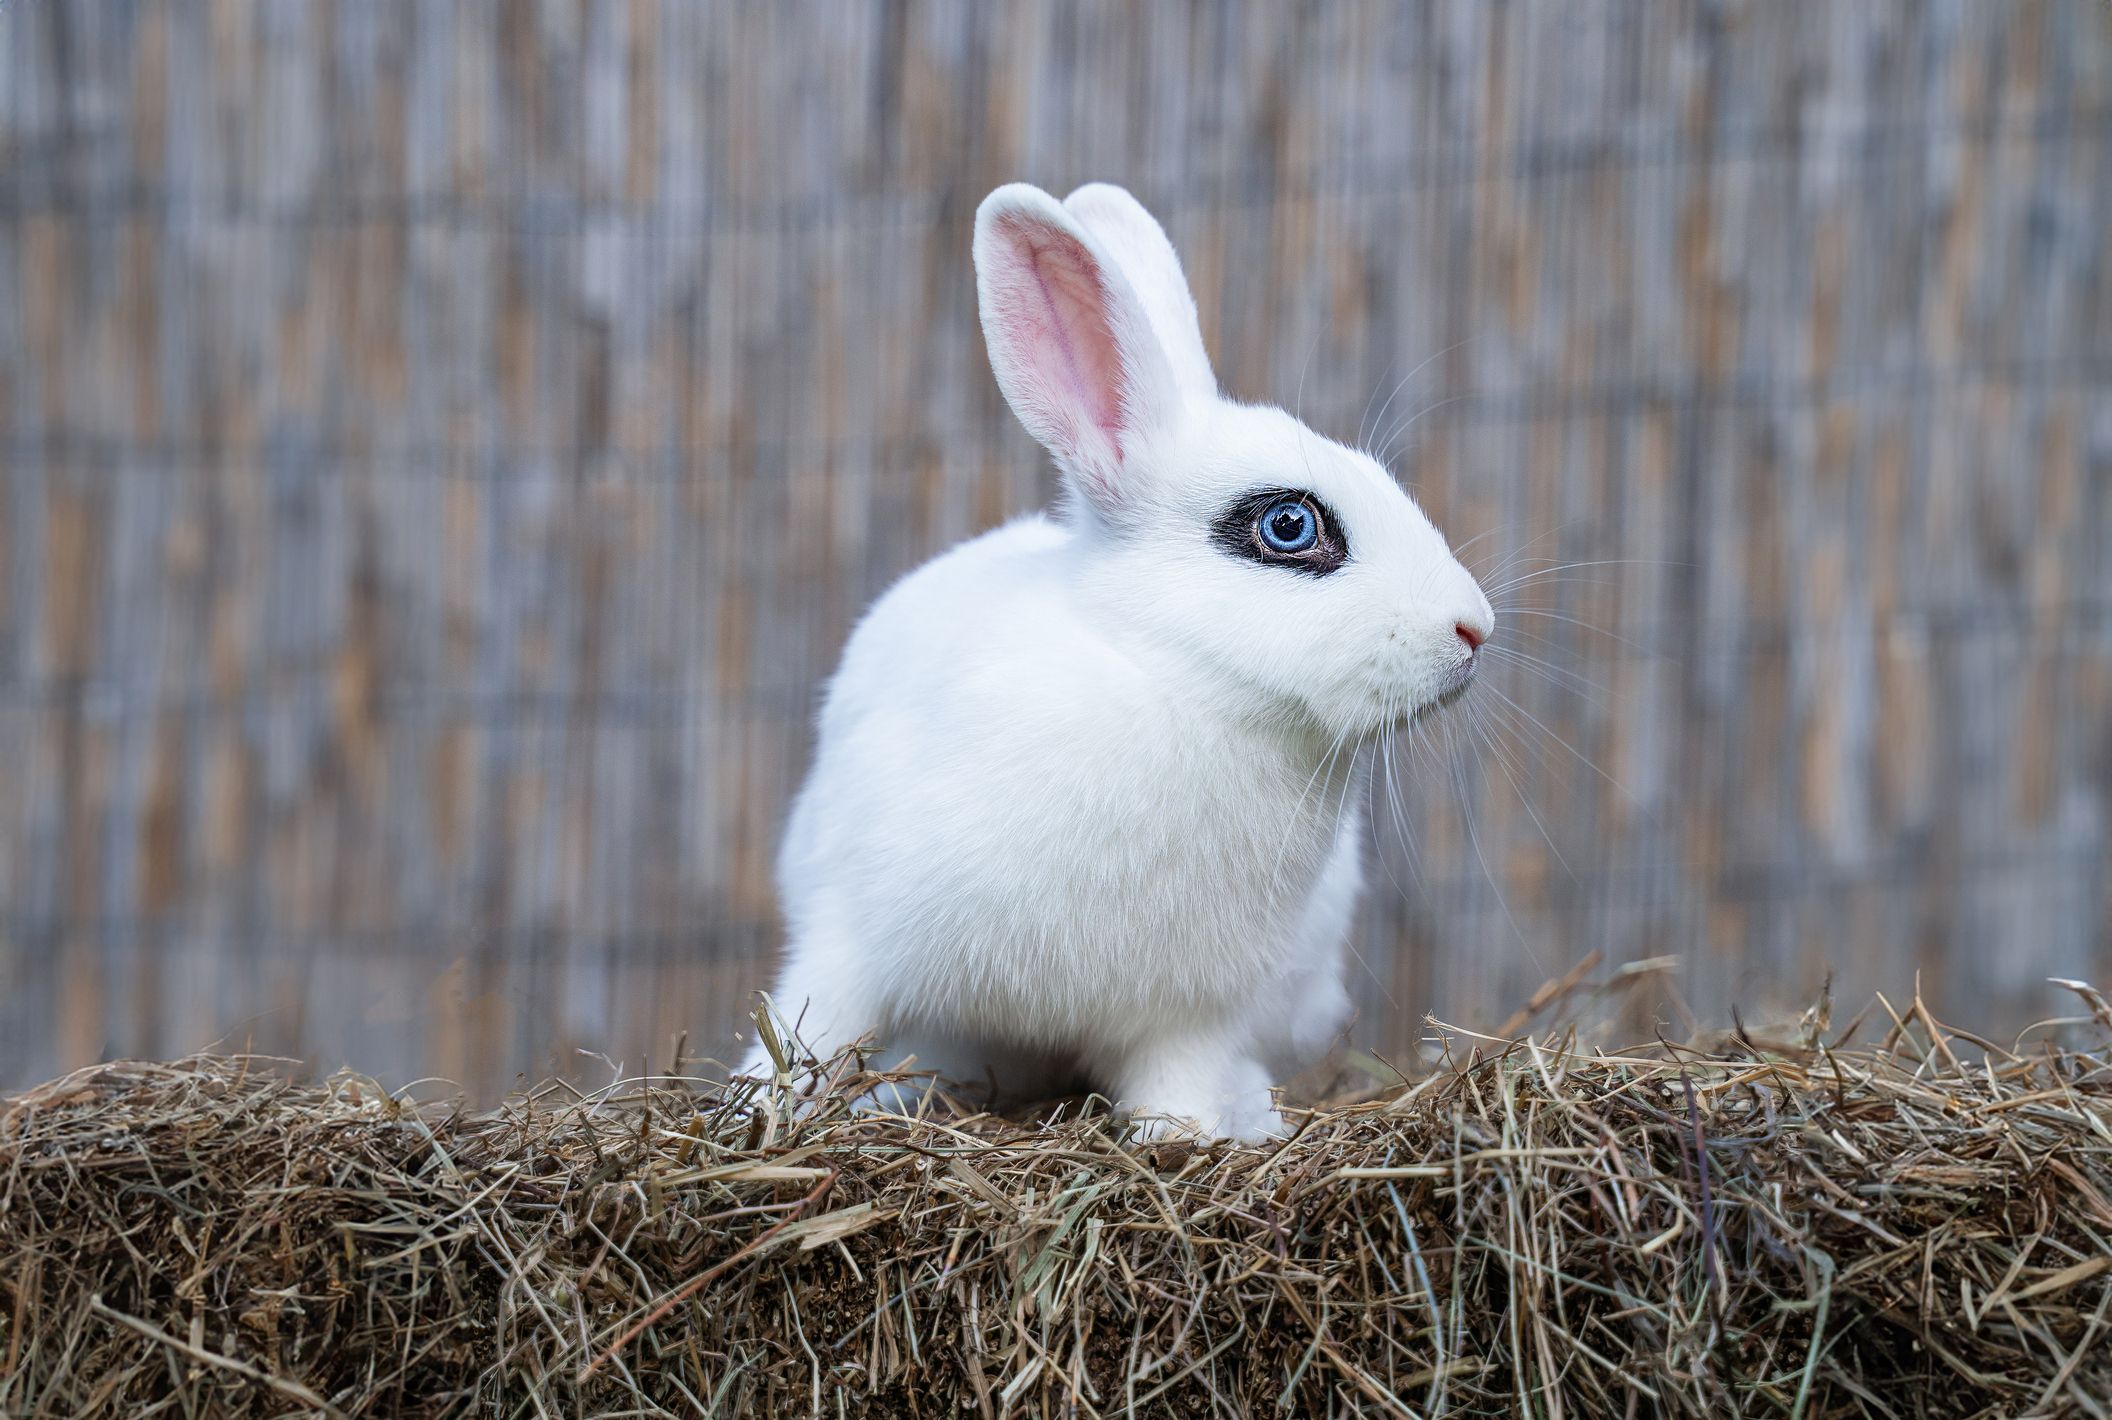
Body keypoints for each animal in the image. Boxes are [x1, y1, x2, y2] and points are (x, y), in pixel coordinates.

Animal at [743, 185, 1486, 1141]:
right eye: (1290, 526)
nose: (1475, 629)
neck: (1175, 686)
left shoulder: (1193, 1014)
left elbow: (1178, 1085)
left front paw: (1186, 1140)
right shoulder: (849, 939)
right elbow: (806, 1034)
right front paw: (751, 1113)